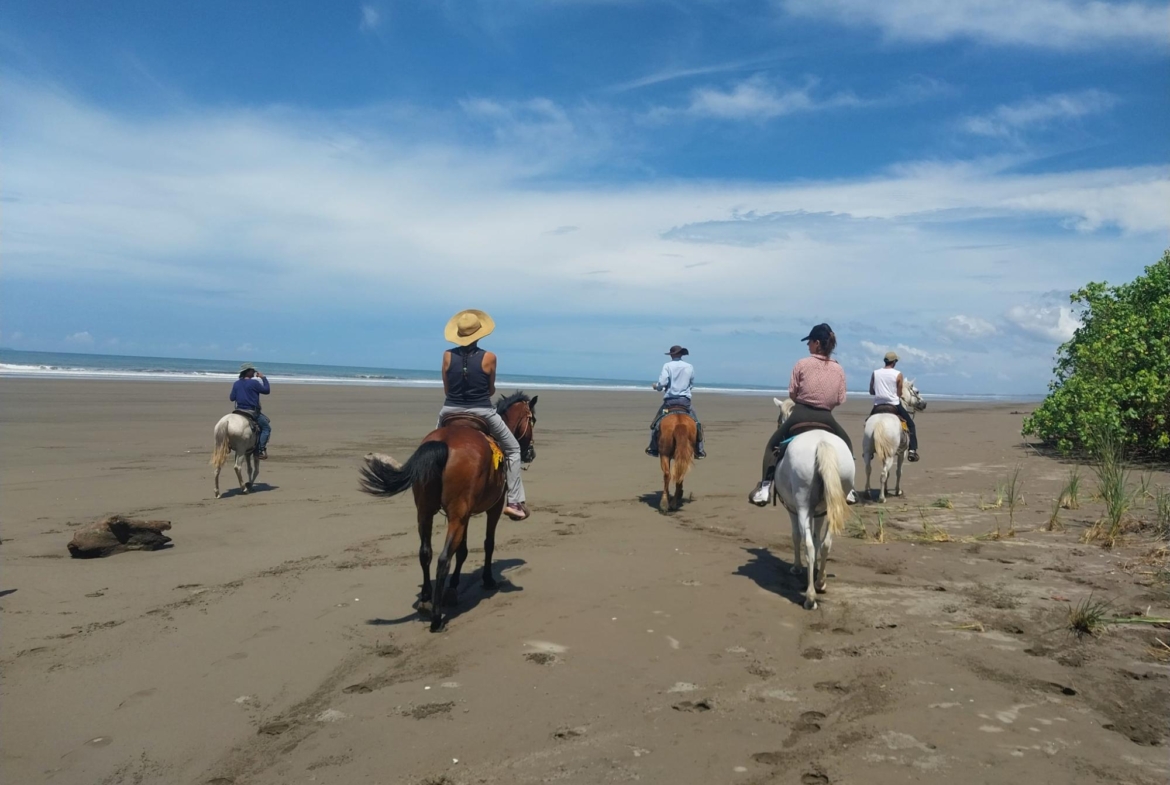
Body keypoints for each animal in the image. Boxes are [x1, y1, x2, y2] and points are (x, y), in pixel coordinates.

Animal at [359, 392, 537, 632]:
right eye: (532, 420)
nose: (530, 453)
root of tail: (442, 444)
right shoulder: (494, 506)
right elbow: (487, 543)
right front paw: (487, 579)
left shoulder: (466, 514)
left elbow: (462, 550)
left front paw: (453, 588)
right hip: (457, 515)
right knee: (443, 558)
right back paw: (436, 618)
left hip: (426, 511)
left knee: (425, 553)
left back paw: (426, 600)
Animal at [770, 398, 855, 610]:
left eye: (779, 419)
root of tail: (821, 442)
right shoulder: (820, 512)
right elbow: (818, 540)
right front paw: (815, 570)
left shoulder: (793, 509)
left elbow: (797, 537)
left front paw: (797, 567)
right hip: (833, 505)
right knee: (826, 544)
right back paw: (820, 583)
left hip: (801, 505)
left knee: (808, 544)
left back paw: (810, 597)